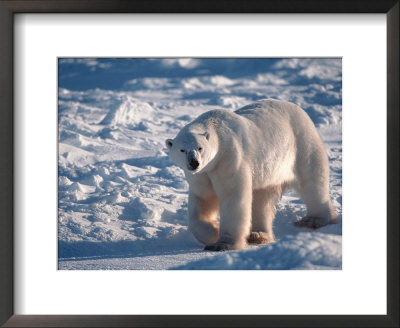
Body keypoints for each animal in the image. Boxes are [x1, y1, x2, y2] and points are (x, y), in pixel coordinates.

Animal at [166, 98, 338, 251]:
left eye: (199, 148)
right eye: (182, 150)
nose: (194, 163)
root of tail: (301, 111)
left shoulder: (228, 159)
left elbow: (232, 197)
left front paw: (222, 244)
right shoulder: (202, 174)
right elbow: (203, 198)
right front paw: (213, 232)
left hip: (302, 145)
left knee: (312, 183)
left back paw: (313, 220)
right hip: (269, 171)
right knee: (262, 200)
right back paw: (258, 234)